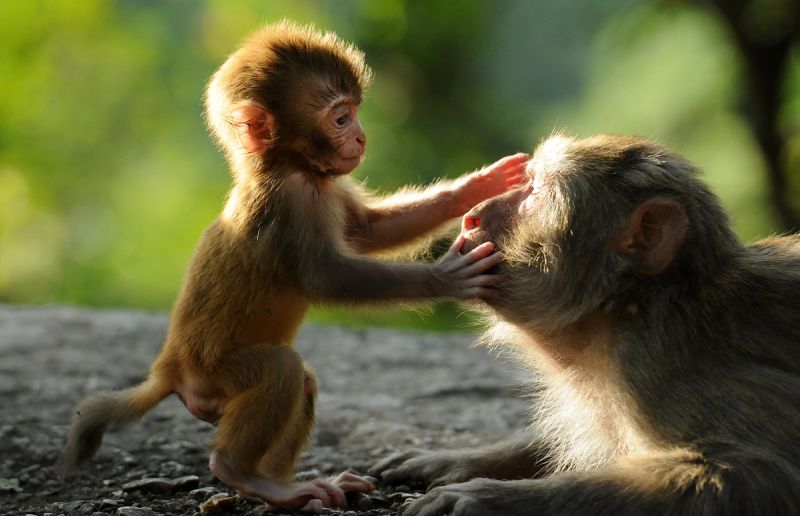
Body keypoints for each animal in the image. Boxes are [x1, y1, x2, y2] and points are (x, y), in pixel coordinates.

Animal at [59, 21, 528, 512]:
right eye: (340, 118)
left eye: (355, 112)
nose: (361, 138)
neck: (290, 167)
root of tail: (169, 367)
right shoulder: (289, 202)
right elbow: (329, 279)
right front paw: (447, 276)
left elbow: (367, 231)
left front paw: (476, 185)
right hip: (214, 375)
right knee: (281, 369)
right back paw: (241, 471)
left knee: (300, 382)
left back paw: (283, 486)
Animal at [374, 135, 800, 512]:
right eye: (527, 180)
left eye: (536, 192)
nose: (471, 215)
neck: (629, 307)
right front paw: (459, 459)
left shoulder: (658, 366)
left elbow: (758, 474)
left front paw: (489, 498)